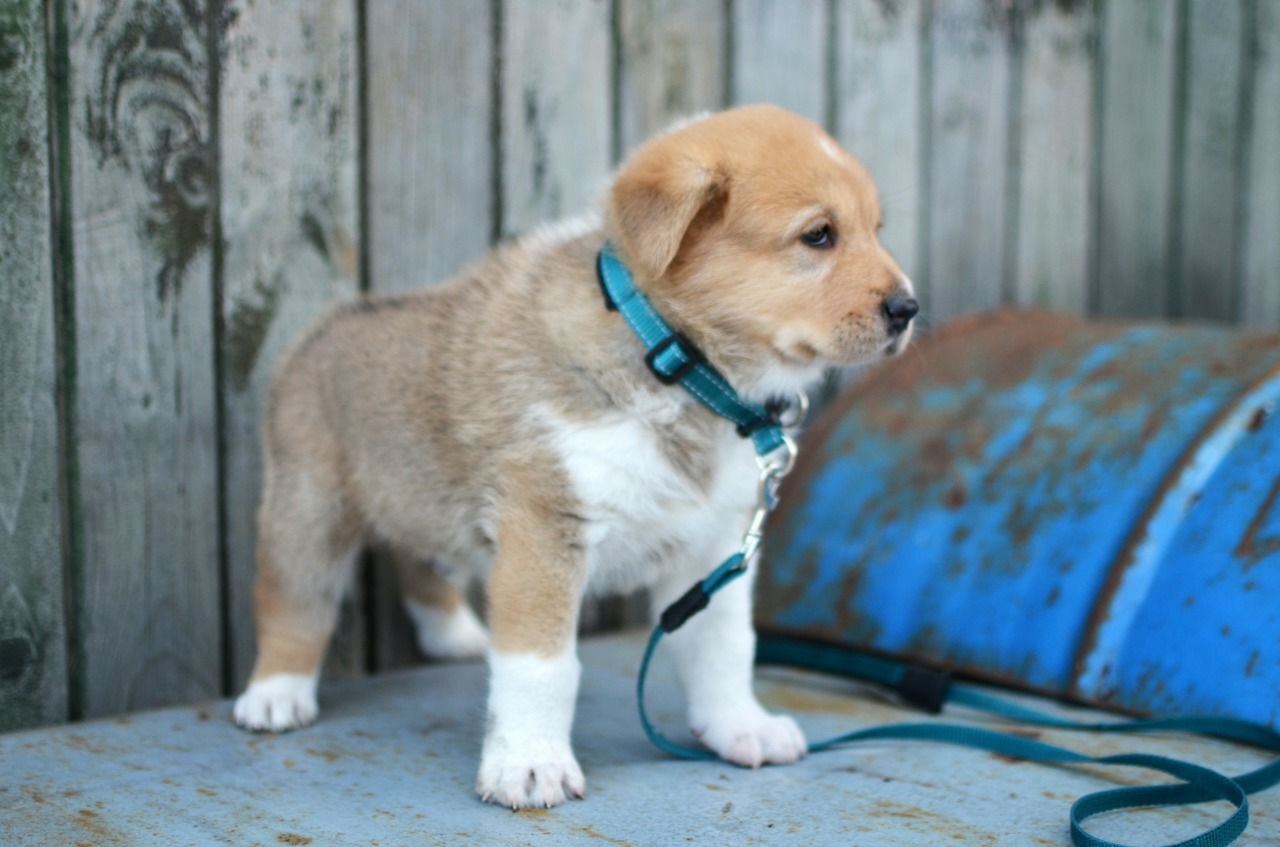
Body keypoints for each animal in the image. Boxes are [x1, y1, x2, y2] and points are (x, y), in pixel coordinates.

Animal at [235, 104, 916, 808]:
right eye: (818, 235)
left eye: (875, 230)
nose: (908, 309)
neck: (675, 363)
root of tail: (326, 325)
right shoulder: (545, 532)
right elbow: (543, 668)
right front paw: (530, 765)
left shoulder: (713, 549)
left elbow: (725, 650)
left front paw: (741, 728)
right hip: (308, 511)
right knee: (291, 601)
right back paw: (275, 695)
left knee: (420, 559)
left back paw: (453, 636)